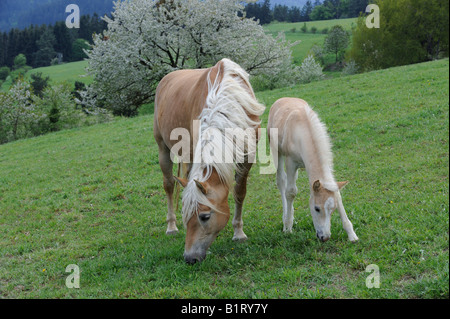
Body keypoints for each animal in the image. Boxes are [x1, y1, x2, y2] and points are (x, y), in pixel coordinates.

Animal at [153, 58, 266, 264]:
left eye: (205, 216)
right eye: (186, 213)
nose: (189, 258)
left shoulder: (247, 156)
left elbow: (239, 192)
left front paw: (239, 232)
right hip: (163, 149)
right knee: (169, 185)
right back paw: (171, 226)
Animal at [268, 97, 358, 242]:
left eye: (333, 209)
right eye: (316, 209)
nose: (324, 237)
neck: (302, 130)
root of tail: (281, 99)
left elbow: (337, 193)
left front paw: (352, 235)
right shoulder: (291, 162)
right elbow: (291, 192)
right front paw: (287, 227)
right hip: (276, 150)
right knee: (281, 180)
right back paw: (286, 217)